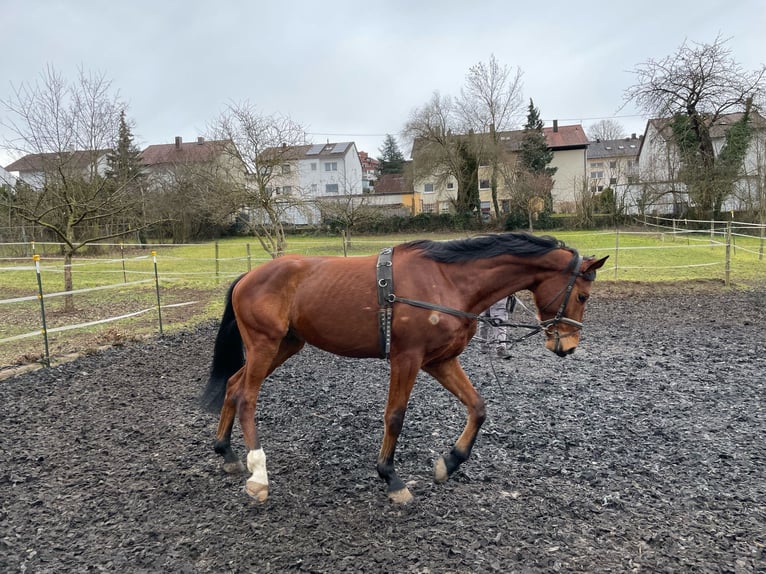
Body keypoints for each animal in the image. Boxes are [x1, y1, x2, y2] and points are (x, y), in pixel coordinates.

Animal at [201, 233, 608, 504]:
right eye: (582, 295)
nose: (567, 346)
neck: (447, 281)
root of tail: (247, 277)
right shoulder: (406, 358)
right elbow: (395, 416)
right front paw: (391, 477)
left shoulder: (439, 360)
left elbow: (477, 407)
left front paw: (450, 461)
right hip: (264, 345)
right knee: (247, 397)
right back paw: (259, 473)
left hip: (284, 345)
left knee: (234, 386)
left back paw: (227, 452)